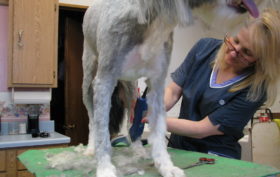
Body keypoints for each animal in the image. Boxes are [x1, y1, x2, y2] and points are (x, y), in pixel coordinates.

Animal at [82, 0, 260, 176]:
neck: (154, 20)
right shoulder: (105, 81)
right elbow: (102, 131)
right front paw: (105, 168)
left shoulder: (157, 83)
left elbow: (159, 131)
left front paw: (166, 166)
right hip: (89, 79)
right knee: (91, 119)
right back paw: (90, 148)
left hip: (131, 87)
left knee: (131, 122)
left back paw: (138, 149)